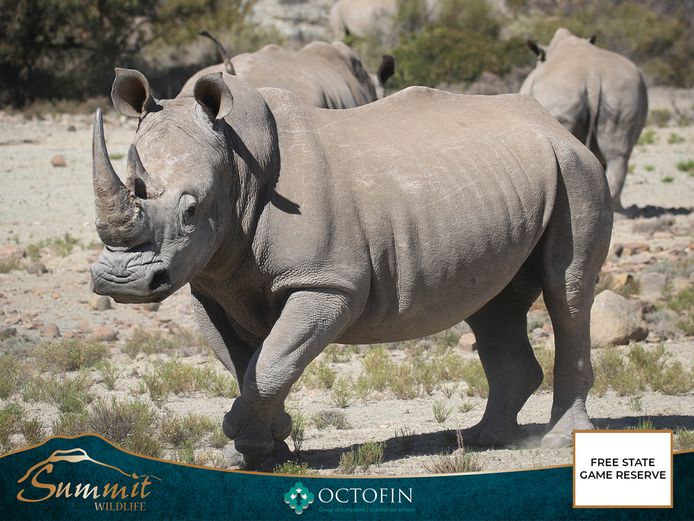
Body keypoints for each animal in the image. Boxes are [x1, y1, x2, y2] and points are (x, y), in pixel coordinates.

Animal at [91, 67, 612, 469]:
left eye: (191, 211)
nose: (123, 281)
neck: (237, 165)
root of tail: (553, 125)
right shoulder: (212, 283)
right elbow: (243, 366)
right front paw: (259, 446)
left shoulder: (327, 283)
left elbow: (272, 362)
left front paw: (248, 442)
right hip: (510, 187)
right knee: (493, 304)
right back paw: (484, 439)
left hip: (578, 172)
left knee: (567, 292)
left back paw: (555, 441)